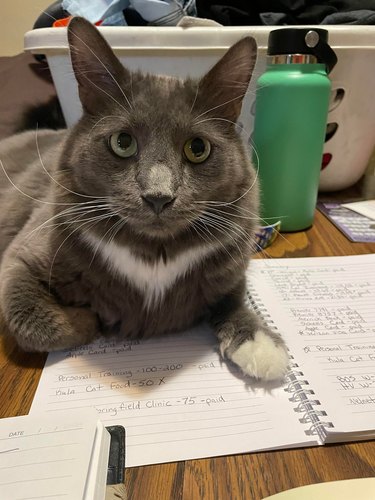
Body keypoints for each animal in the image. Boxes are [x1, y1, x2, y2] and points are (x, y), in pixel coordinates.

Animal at [0, 17, 290, 380]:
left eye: (198, 148)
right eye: (123, 142)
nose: (158, 196)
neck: (155, 255)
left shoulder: (230, 271)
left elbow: (235, 299)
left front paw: (260, 344)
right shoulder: (21, 258)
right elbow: (30, 320)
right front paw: (90, 319)